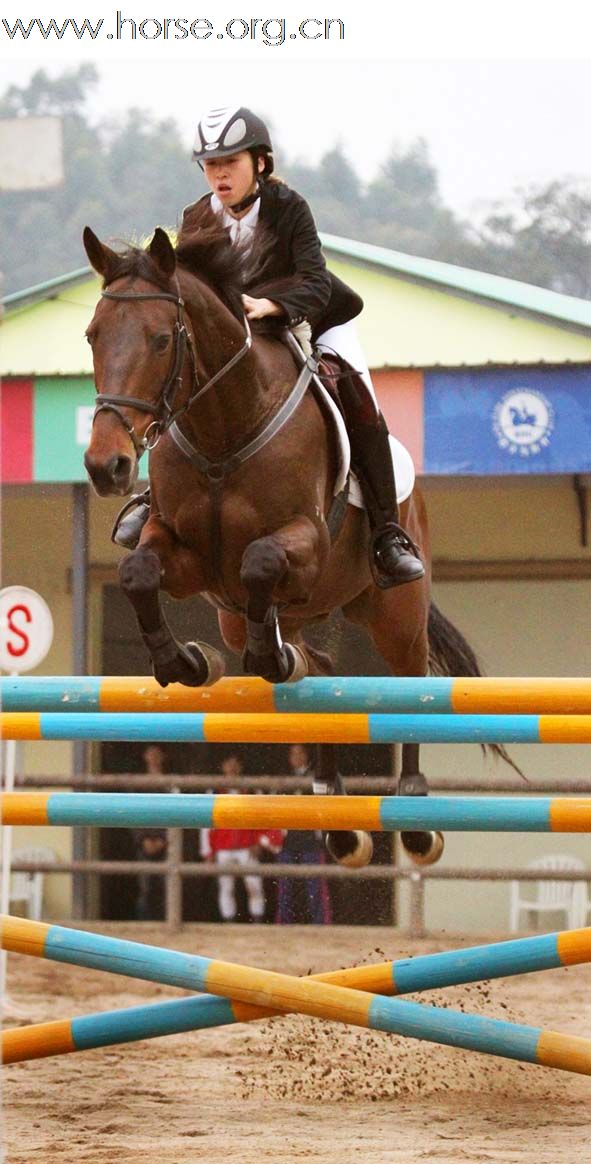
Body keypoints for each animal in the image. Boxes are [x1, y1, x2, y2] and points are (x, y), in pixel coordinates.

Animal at [80, 218, 504, 870]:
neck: (224, 427)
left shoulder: (303, 544)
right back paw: (333, 807)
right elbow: (139, 573)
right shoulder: (188, 558)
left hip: (395, 611)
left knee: (412, 680)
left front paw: (258, 656)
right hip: (261, 615)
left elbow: (259, 561)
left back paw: (411, 810)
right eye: (93, 336)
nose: (107, 467)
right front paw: (186, 663)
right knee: (321, 672)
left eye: (160, 339)